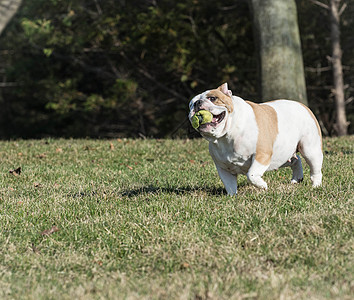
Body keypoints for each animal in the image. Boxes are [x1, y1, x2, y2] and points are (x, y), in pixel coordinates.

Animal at [189, 82, 322, 196]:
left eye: (212, 98)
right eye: (190, 104)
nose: (197, 103)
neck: (226, 135)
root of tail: (303, 106)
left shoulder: (261, 155)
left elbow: (251, 175)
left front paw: (262, 186)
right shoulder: (223, 168)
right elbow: (229, 184)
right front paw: (232, 197)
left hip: (310, 150)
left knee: (315, 169)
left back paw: (315, 186)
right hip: (281, 155)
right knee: (296, 160)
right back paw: (296, 179)